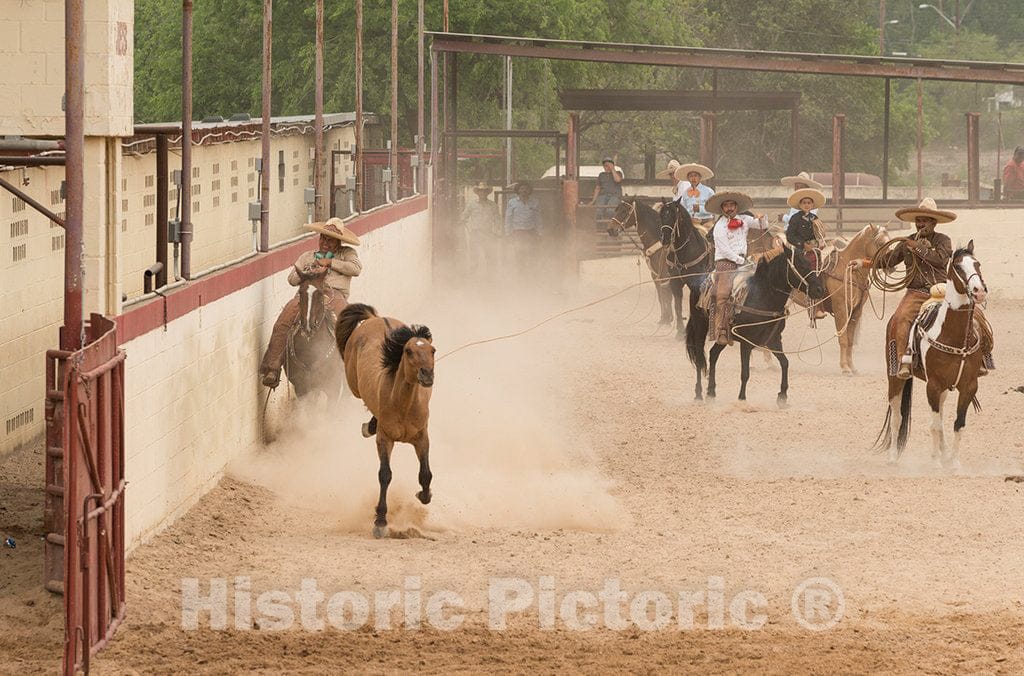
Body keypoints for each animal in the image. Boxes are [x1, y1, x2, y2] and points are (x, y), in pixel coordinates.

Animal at [333, 303, 434, 536]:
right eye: (408, 351)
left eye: (432, 350)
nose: (427, 375)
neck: (403, 405)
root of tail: (374, 318)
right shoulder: (385, 439)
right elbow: (385, 474)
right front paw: (380, 521)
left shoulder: (422, 437)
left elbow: (425, 474)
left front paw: (423, 495)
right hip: (353, 385)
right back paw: (368, 426)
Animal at [708, 243, 827, 407]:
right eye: (801, 265)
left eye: (810, 263)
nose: (819, 290)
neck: (763, 297)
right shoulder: (746, 342)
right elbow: (745, 373)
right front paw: (742, 399)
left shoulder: (774, 339)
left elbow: (785, 363)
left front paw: (782, 396)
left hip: (724, 338)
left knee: (713, 354)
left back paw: (711, 393)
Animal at [876, 242, 987, 469]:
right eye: (958, 266)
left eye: (977, 264)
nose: (979, 291)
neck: (954, 335)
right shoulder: (933, 385)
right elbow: (934, 425)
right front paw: (935, 463)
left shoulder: (969, 386)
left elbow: (958, 424)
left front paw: (954, 463)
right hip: (895, 378)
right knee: (897, 416)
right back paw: (893, 457)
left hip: (944, 388)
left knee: (941, 417)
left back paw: (944, 454)